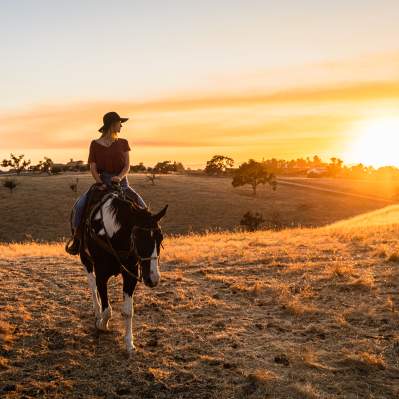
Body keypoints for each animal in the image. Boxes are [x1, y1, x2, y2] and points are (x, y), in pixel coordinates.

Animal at [74, 186, 168, 354]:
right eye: (137, 237)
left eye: (160, 237)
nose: (153, 278)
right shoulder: (101, 275)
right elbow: (107, 310)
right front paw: (102, 325)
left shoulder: (131, 275)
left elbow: (128, 311)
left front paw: (129, 343)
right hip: (85, 260)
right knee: (92, 287)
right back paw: (97, 311)